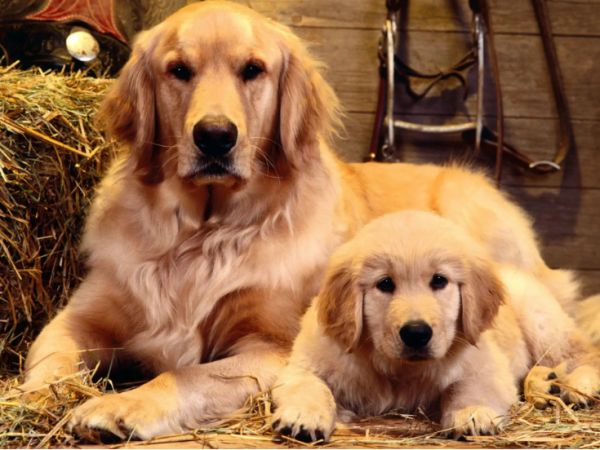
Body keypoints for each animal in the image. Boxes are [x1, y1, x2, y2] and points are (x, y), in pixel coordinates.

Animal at [272, 211, 600, 442]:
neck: (400, 370)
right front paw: (302, 415)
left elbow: (465, 385)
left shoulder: (488, 366)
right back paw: (548, 383)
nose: (416, 333)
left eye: (439, 280)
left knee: (583, 354)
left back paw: (578, 386)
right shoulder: (308, 360)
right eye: (385, 283)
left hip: (542, 321)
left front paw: (471, 413)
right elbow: (310, 385)